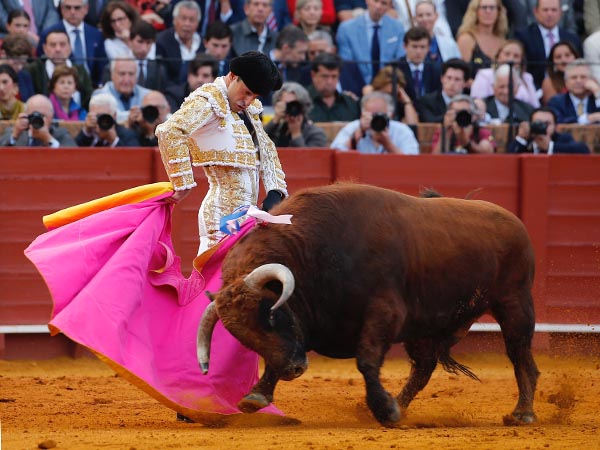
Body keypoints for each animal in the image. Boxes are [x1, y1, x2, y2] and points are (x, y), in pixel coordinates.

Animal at [197, 183, 540, 427]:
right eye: (242, 337)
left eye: (271, 318)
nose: (293, 370)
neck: (312, 255)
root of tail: (515, 222)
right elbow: (277, 355)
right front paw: (256, 396)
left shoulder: (384, 313)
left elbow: (367, 360)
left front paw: (383, 410)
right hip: (425, 326)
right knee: (424, 367)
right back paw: (399, 405)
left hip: (514, 304)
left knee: (521, 358)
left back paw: (521, 413)